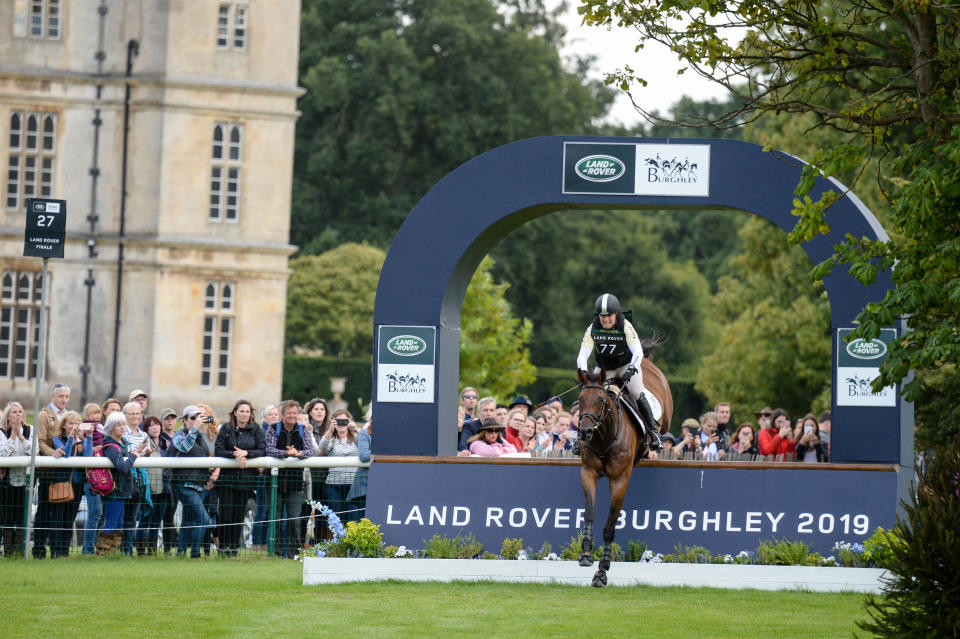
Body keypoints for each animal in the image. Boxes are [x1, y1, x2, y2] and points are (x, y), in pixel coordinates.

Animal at [576, 352, 676, 588]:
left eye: (601, 400)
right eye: (580, 400)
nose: (584, 432)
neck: (605, 436)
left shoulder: (620, 480)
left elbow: (610, 526)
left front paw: (602, 571)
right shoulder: (588, 472)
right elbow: (590, 512)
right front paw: (586, 553)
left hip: (665, 414)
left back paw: (655, 439)